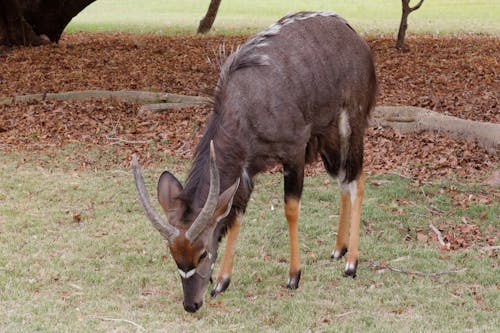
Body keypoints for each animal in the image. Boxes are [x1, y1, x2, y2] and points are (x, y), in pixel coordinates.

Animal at [133, 10, 376, 312]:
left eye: (202, 253)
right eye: (173, 254)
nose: (191, 304)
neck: (246, 103)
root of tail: (357, 38)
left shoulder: (293, 152)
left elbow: (290, 209)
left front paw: (294, 276)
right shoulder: (248, 168)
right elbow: (236, 215)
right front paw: (222, 282)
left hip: (350, 125)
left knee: (357, 178)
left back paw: (351, 263)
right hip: (329, 141)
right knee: (344, 180)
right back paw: (338, 250)